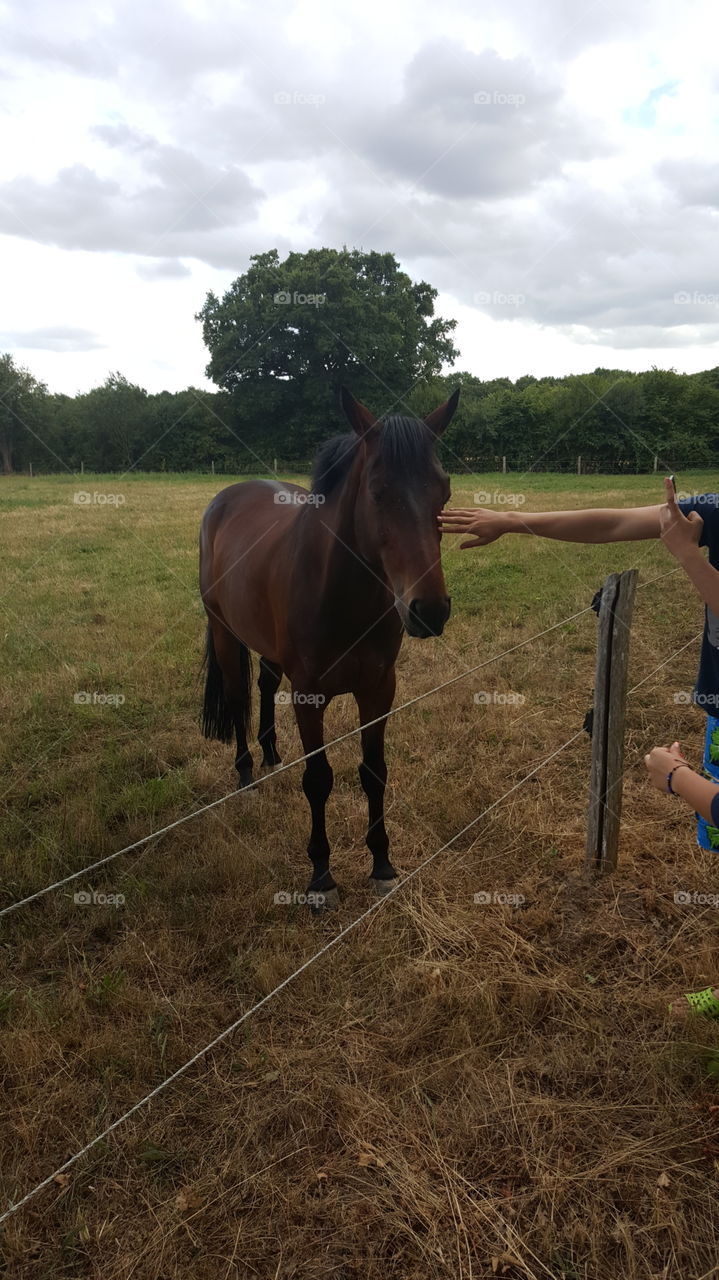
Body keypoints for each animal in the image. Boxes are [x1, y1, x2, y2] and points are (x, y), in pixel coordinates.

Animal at [197, 384, 458, 906]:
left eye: (444, 490)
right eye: (378, 491)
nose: (430, 610)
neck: (337, 590)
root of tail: (226, 498)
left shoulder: (378, 690)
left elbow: (374, 771)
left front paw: (382, 865)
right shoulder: (309, 696)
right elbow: (318, 780)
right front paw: (321, 877)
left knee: (263, 685)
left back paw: (272, 755)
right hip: (223, 630)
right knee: (236, 697)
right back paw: (246, 775)